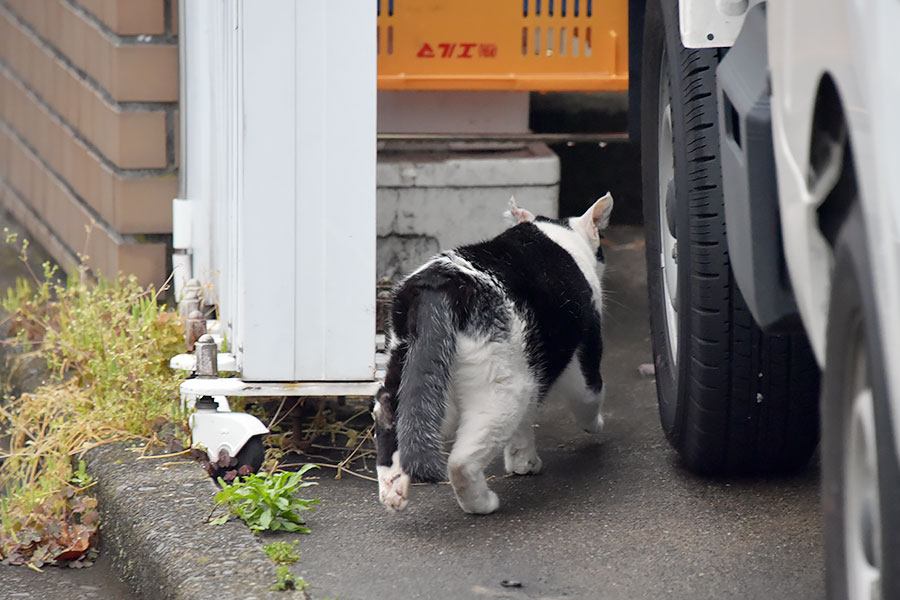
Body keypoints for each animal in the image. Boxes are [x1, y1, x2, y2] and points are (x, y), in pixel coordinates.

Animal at [370, 195, 612, 512]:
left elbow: (523, 426)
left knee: (389, 412)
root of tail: (437, 289)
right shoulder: (584, 351)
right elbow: (590, 397)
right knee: (461, 462)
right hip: (502, 391)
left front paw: (523, 461)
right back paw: (482, 504)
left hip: (410, 367)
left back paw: (393, 488)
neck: (557, 234)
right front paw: (596, 426)